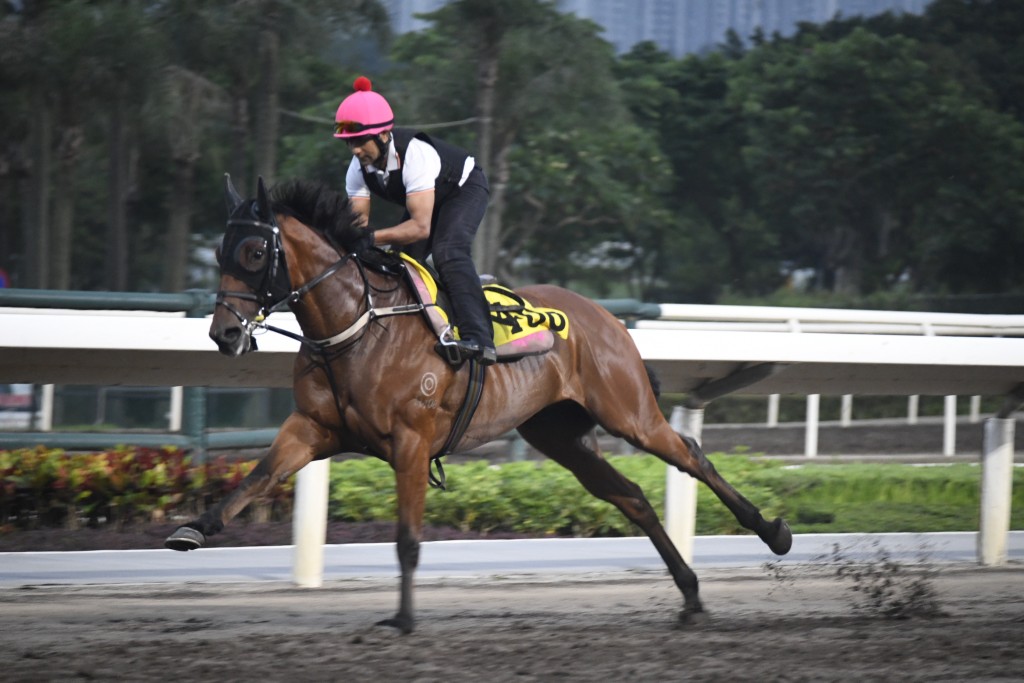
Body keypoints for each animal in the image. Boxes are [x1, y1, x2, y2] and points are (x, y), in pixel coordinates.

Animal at [165, 174, 790, 634]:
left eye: (253, 251)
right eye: (218, 250)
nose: (224, 334)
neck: (359, 325)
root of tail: (605, 317)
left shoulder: (411, 443)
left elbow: (408, 539)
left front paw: (404, 618)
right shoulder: (313, 427)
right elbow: (259, 476)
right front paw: (193, 529)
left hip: (628, 412)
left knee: (691, 455)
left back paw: (772, 532)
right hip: (560, 436)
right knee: (632, 496)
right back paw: (690, 596)